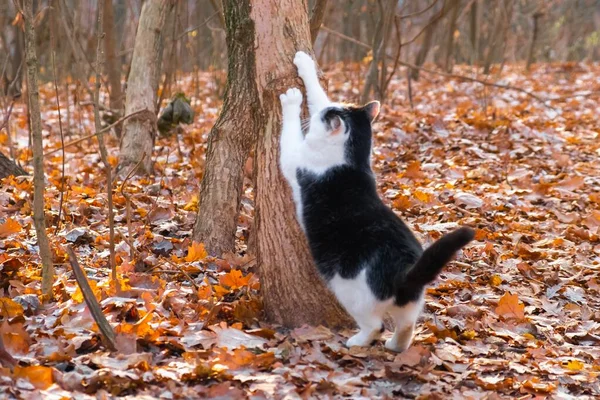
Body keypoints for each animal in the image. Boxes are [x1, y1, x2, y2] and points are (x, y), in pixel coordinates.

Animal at [278, 50, 476, 354]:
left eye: (322, 118)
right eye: (328, 111)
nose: (313, 120)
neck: (352, 158)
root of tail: (406, 272)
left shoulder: (294, 160)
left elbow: (289, 134)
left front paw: (291, 100)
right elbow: (318, 92)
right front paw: (305, 63)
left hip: (350, 291)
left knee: (375, 326)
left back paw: (357, 341)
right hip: (411, 304)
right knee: (407, 326)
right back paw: (396, 346)